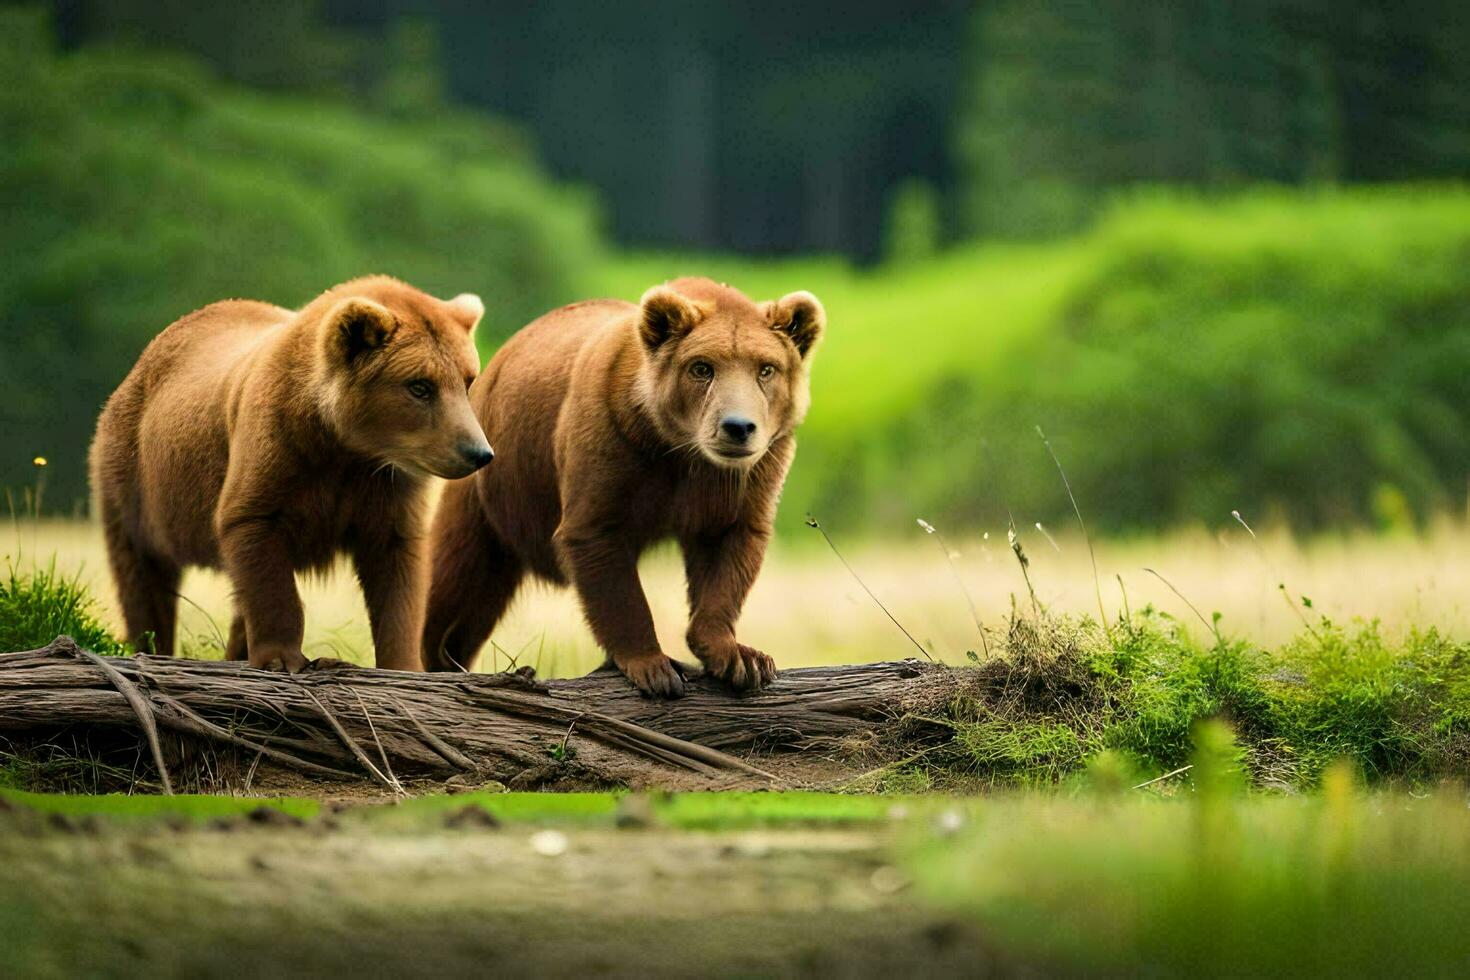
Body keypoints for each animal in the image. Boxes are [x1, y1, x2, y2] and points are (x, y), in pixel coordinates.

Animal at [91, 276, 493, 675]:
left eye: (467, 380)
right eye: (420, 386)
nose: (478, 452)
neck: (348, 445)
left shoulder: (387, 485)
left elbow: (396, 564)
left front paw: (403, 663)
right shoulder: (280, 449)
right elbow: (256, 535)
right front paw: (282, 656)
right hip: (135, 472)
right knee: (141, 570)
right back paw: (151, 643)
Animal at [420, 276, 823, 696]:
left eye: (766, 368)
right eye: (701, 367)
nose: (737, 426)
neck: (680, 448)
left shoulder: (747, 473)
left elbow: (730, 549)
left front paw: (742, 657)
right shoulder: (615, 441)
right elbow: (599, 544)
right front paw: (653, 667)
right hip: (488, 482)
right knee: (456, 583)